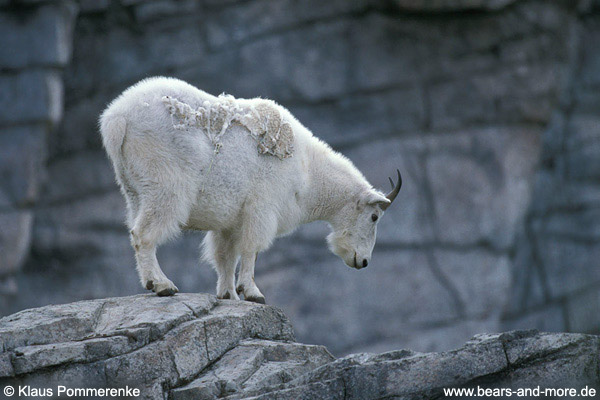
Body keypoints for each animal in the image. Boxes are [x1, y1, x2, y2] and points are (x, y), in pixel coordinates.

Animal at [99, 77, 404, 304]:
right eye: (374, 217)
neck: (308, 173)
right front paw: (253, 292)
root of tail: (116, 120)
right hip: (165, 184)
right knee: (144, 233)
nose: (363, 261)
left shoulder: (229, 220)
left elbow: (224, 255)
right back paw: (162, 284)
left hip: (134, 189)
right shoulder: (262, 207)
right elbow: (251, 249)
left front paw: (228, 294)